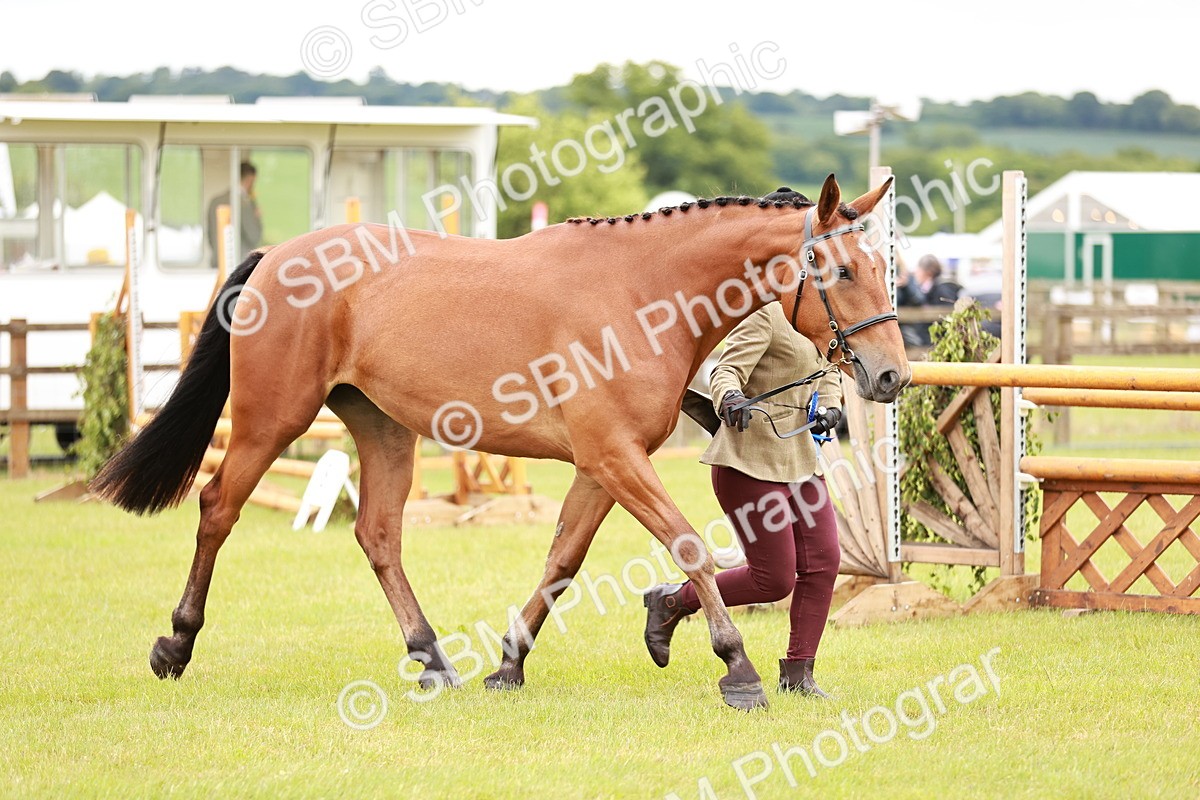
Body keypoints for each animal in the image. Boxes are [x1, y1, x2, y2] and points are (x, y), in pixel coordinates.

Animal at [92, 174, 910, 711]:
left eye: (881, 268)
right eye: (841, 271)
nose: (891, 375)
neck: (641, 294)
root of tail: (276, 255)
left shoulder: (600, 466)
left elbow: (562, 561)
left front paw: (510, 665)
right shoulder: (615, 458)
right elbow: (688, 546)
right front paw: (737, 667)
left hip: (382, 428)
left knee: (378, 534)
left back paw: (432, 660)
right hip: (272, 421)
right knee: (217, 508)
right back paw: (175, 645)